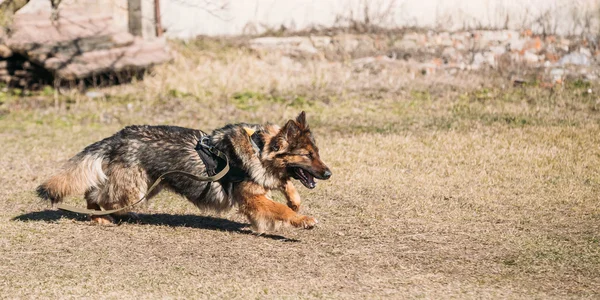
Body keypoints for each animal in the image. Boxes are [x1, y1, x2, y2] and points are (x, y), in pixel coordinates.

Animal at [36, 112, 332, 232]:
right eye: (308, 156)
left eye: (317, 153)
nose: (329, 174)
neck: (259, 148)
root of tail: (117, 136)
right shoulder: (253, 199)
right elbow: (280, 210)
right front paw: (302, 219)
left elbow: (286, 188)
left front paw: (295, 201)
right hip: (136, 188)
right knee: (96, 195)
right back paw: (99, 217)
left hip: (147, 186)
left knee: (100, 191)